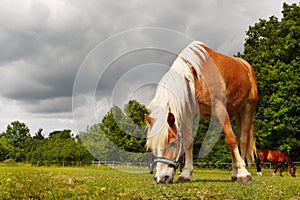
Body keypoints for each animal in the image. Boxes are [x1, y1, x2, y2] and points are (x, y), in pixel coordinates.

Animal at [145, 41, 258, 184]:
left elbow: (232, 140)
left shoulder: (220, 107)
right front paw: (185, 174)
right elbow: (189, 141)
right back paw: (234, 173)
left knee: (242, 139)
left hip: (248, 108)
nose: (160, 178)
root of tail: (246, 65)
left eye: (172, 144)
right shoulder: (188, 113)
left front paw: (243, 174)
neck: (195, 77)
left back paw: (241, 172)